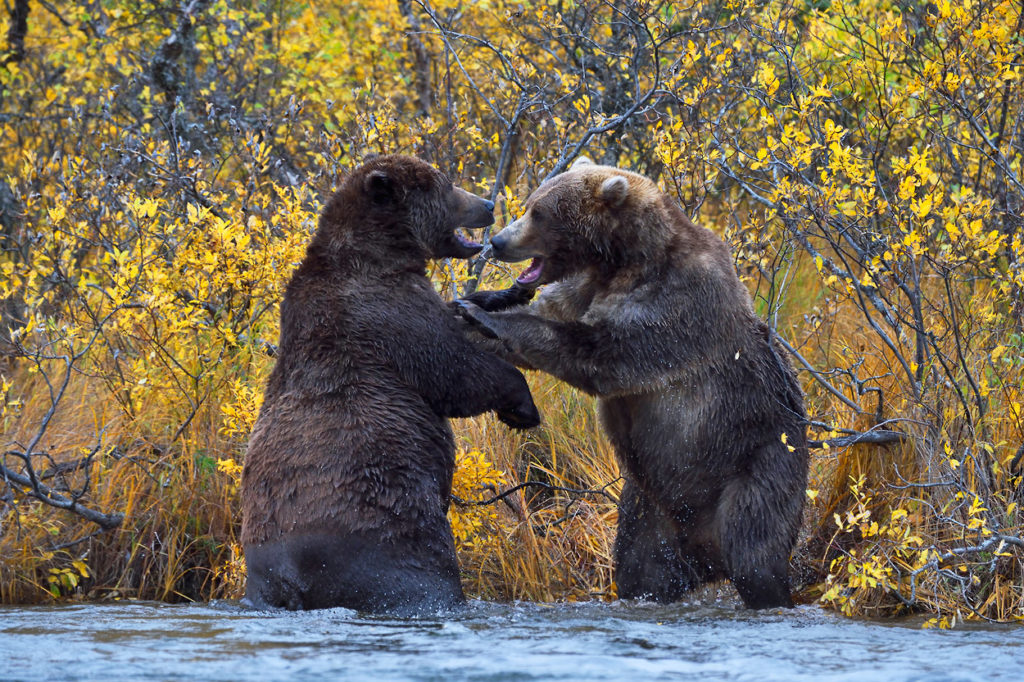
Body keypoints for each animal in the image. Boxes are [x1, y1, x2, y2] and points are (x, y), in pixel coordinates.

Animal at [242, 152, 540, 610]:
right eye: (446, 185)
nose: (488, 204)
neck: (382, 253)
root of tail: (283, 576)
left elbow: (459, 312)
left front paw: (509, 293)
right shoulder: (384, 313)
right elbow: (453, 367)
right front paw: (522, 406)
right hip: (384, 532)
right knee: (421, 573)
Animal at [462, 157, 806, 606]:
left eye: (539, 213)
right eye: (531, 203)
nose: (499, 241)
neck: (621, 260)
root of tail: (706, 556)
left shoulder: (676, 305)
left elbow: (603, 353)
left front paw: (484, 317)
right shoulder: (584, 288)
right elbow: (552, 314)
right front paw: (470, 310)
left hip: (759, 461)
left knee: (755, 550)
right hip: (648, 507)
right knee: (640, 566)